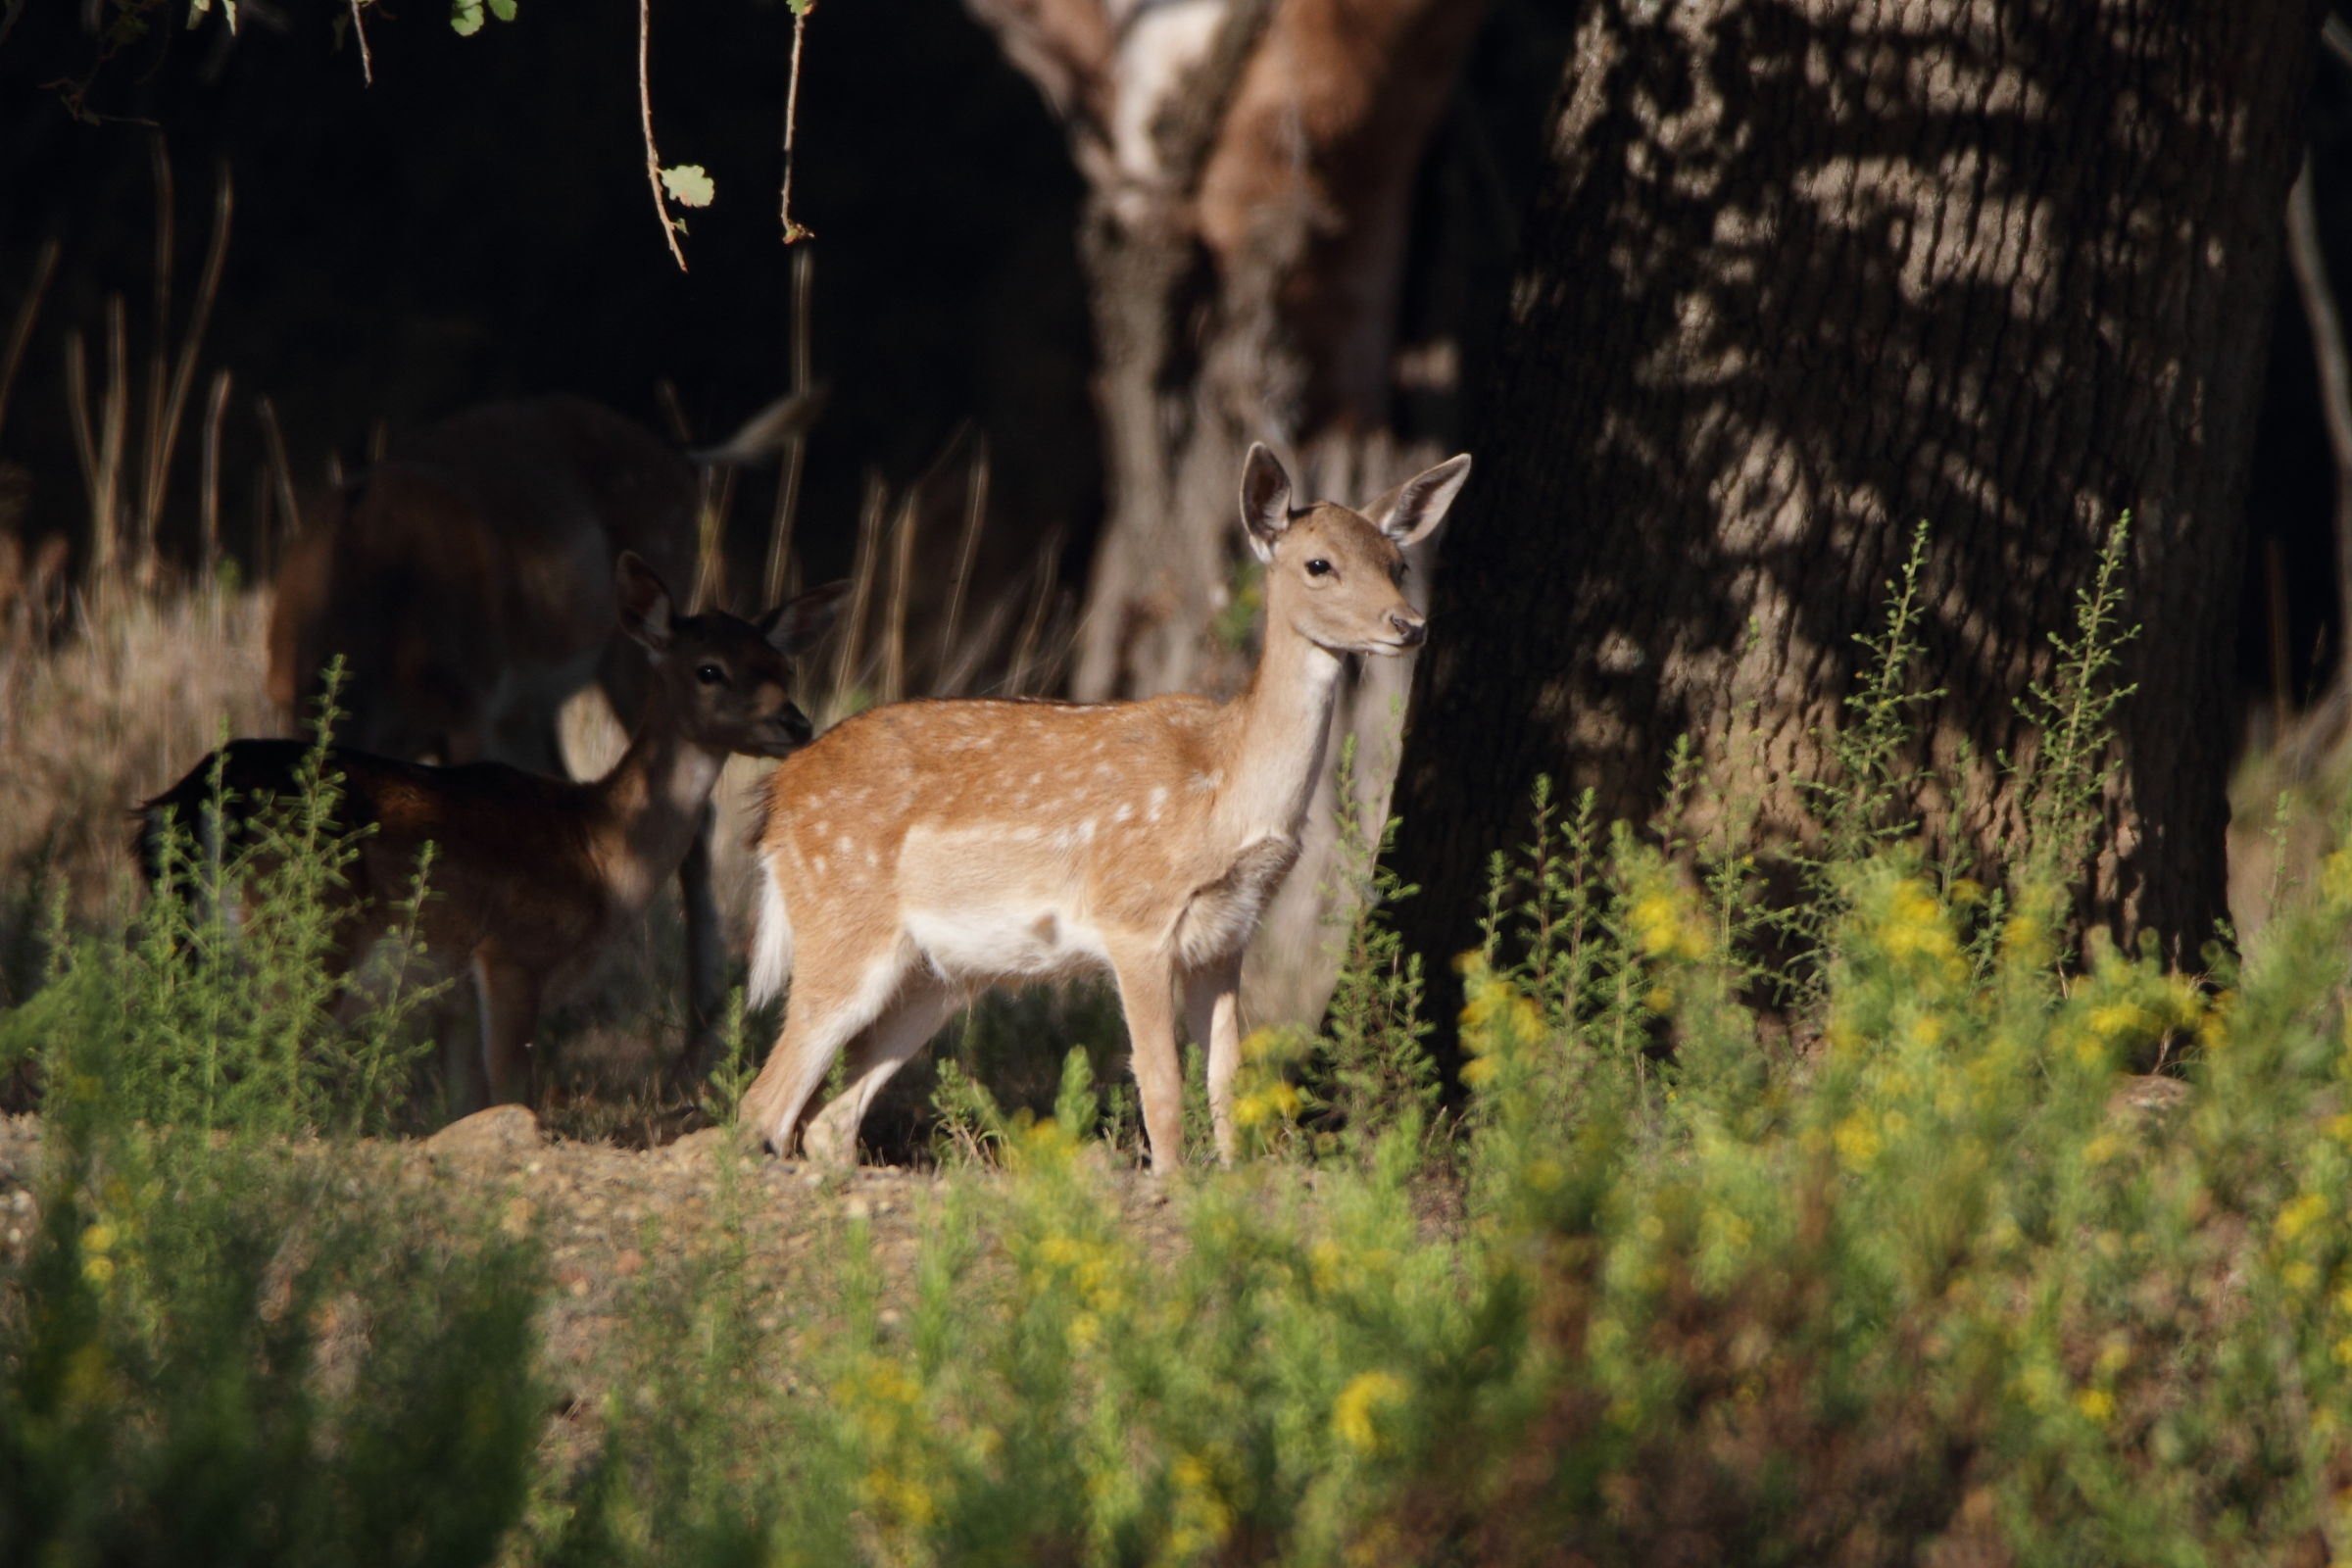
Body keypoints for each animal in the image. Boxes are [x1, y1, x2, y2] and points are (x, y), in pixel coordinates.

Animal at [144, 553, 844, 1110]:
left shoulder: (451, 1002)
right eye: (708, 669)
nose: (796, 723)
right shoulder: (513, 952)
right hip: (307, 938)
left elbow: (463, 1107)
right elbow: (514, 1093)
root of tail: (197, 800)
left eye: (781, 665)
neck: (599, 850)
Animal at [266, 391, 820, 1080]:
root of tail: (677, 452)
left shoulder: (471, 702)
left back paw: (697, 1036)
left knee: (698, 821)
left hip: (621, 647)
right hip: (533, 705)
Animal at [736, 442, 1470, 1170]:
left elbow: (1228, 1082)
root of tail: (777, 799)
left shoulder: (1227, 938)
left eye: (1399, 564)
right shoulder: (1135, 917)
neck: (1224, 791)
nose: (1410, 624)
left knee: (826, 1120)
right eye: (1319, 564)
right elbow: (1162, 1082)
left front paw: (1234, 1181)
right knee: (763, 1102)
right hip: (843, 923)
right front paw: (1175, 1184)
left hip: (937, 974)